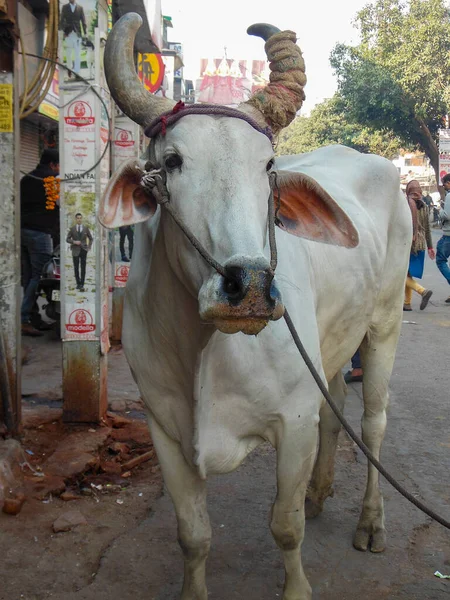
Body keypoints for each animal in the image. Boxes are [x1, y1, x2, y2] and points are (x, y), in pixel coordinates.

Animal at [100, 14, 414, 600]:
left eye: (267, 165)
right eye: (171, 161)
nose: (247, 286)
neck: (205, 349)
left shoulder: (292, 423)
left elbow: (285, 526)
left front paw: (297, 588)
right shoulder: (163, 429)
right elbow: (193, 535)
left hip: (384, 323)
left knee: (373, 422)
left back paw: (372, 522)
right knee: (335, 407)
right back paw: (320, 492)